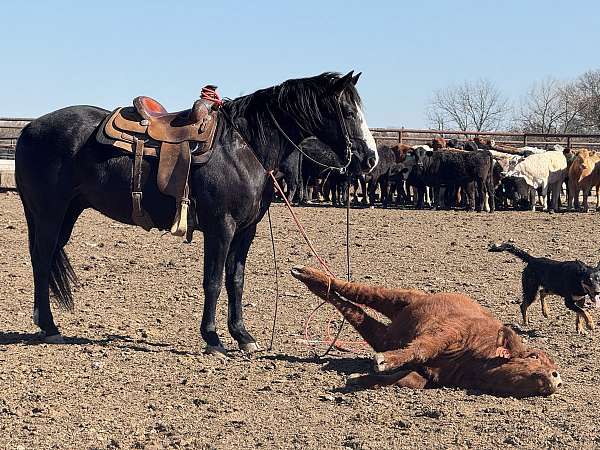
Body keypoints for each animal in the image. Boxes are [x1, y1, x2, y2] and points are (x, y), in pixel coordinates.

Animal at [14, 70, 378, 354]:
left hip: (67, 212)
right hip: (48, 213)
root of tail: (29, 129)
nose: (370, 159)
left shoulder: (246, 231)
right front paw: (213, 338)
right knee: (42, 260)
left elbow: (236, 280)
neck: (243, 147)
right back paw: (49, 326)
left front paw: (243, 336)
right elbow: (213, 281)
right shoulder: (221, 227)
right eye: (347, 111)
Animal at [290, 266, 564, 400]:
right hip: (399, 297)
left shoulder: (432, 375)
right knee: (357, 290)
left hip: (383, 334)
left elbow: (409, 379)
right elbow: (423, 348)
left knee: (356, 313)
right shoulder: (447, 332)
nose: (556, 376)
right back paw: (306, 273)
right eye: (533, 357)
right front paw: (383, 362)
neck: (477, 360)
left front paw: (359, 378)